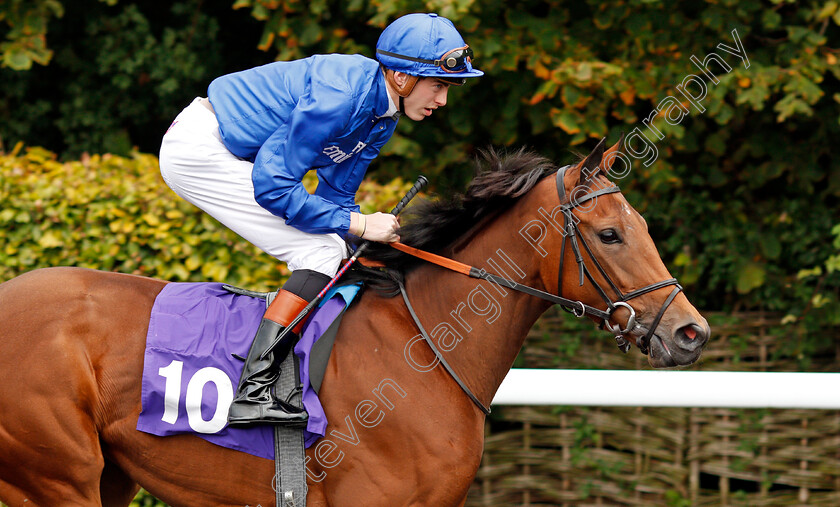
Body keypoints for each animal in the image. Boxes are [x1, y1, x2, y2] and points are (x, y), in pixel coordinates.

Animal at [0, 137, 708, 506]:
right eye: (610, 234)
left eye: (642, 225)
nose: (689, 332)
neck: (423, 352)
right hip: (55, 475)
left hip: (107, 476)